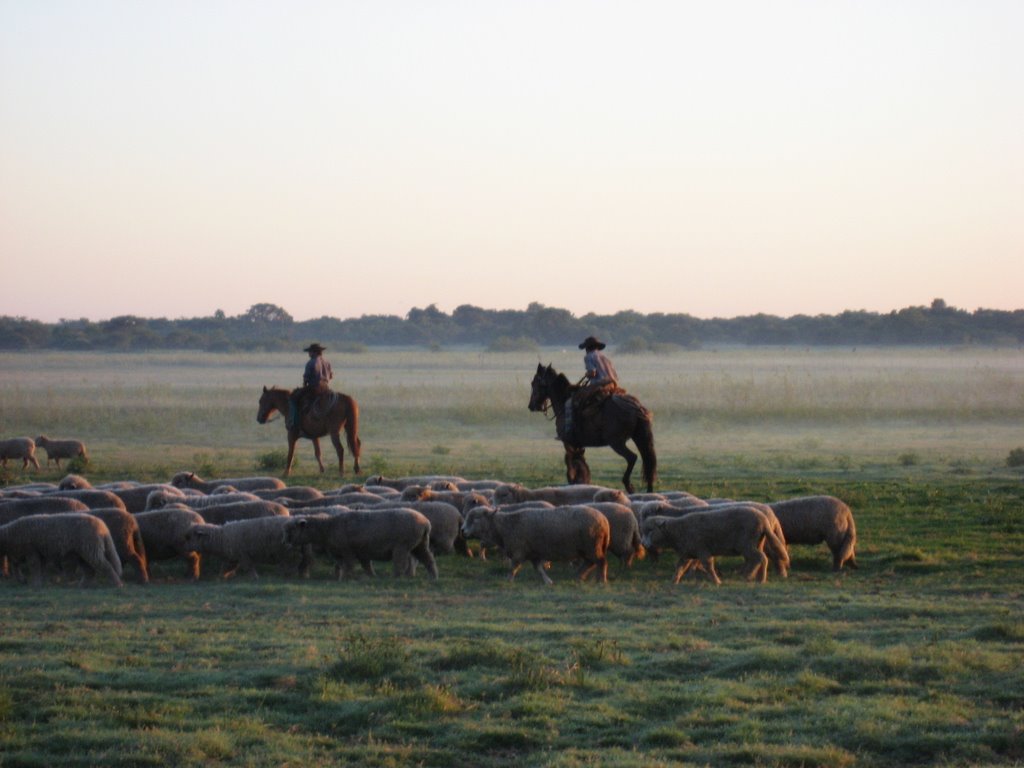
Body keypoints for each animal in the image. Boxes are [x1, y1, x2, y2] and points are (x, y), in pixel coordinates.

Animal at [282, 507, 438, 581]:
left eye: (292, 529)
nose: (285, 542)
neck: (328, 527)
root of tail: (425, 523)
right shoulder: (360, 552)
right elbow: (363, 566)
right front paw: (372, 577)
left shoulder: (347, 551)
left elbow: (349, 565)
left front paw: (347, 578)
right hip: (420, 544)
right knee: (429, 559)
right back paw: (433, 577)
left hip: (402, 545)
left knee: (400, 563)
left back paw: (396, 577)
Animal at [462, 507, 610, 585]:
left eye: (475, 519)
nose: (462, 531)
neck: (505, 526)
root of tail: (604, 520)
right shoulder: (534, 554)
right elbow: (539, 569)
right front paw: (548, 581)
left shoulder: (518, 551)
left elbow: (513, 568)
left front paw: (508, 580)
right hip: (588, 548)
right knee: (590, 563)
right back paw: (579, 576)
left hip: (592, 546)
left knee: (601, 562)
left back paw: (601, 580)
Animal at [528, 364, 655, 493]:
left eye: (534, 383)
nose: (531, 406)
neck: (563, 402)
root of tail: (636, 407)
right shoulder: (578, 444)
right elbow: (580, 461)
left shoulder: (568, 442)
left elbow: (571, 461)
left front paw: (575, 479)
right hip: (639, 438)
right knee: (649, 462)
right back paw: (649, 490)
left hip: (617, 443)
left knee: (632, 458)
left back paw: (628, 485)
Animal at [638, 507, 790, 585]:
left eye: (650, 530)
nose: (643, 544)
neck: (677, 531)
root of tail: (764, 520)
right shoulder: (687, 553)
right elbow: (680, 567)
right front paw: (674, 580)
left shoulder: (702, 550)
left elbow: (708, 566)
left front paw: (716, 581)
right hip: (756, 543)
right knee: (756, 559)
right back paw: (751, 576)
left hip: (747, 543)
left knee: (761, 558)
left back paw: (758, 579)